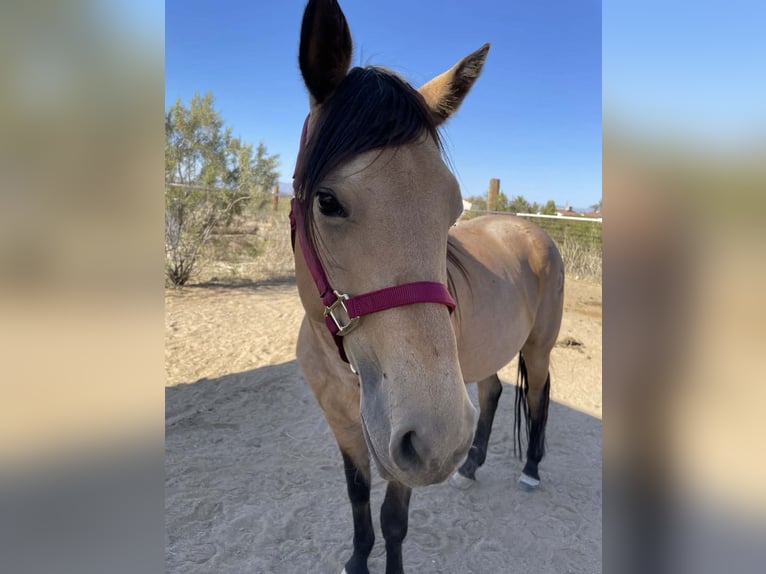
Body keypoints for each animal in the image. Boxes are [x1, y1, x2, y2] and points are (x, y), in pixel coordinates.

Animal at [291, 1, 564, 572]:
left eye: (452, 205)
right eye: (327, 201)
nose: (442, 439)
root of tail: (533, 231)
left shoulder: (402, 450)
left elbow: (393, 520)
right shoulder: (345, 427)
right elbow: (356, 497)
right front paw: (356, 560)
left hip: (537, 349)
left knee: (538, 398)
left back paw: (529, 469)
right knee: (492, 392)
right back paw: (472, 464)